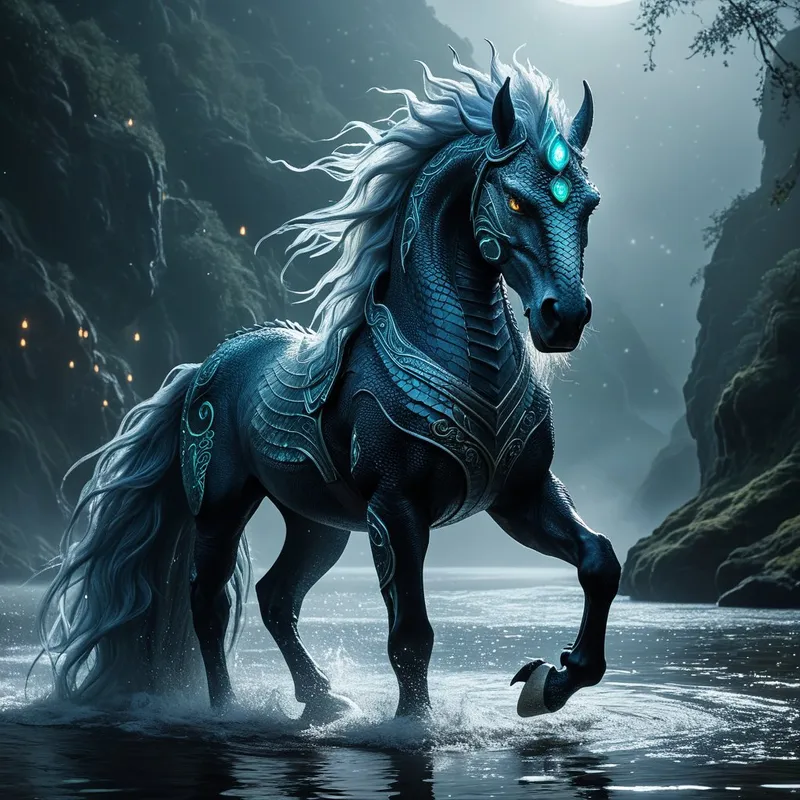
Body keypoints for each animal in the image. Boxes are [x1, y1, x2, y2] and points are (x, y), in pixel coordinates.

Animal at [36, 45, 621, 722]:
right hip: (221, 507)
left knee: (274, 596)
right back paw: (226, 707)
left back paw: (321, 700)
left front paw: (551, 680)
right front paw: (414, 726)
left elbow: (599, 560)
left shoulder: (519, 495)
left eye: (589, 205)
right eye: (520, 202)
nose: (564, 318)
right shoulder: (395, 509)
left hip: (316, 522)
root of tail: (201, 369)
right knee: (209, 600)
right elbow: (411, 632)